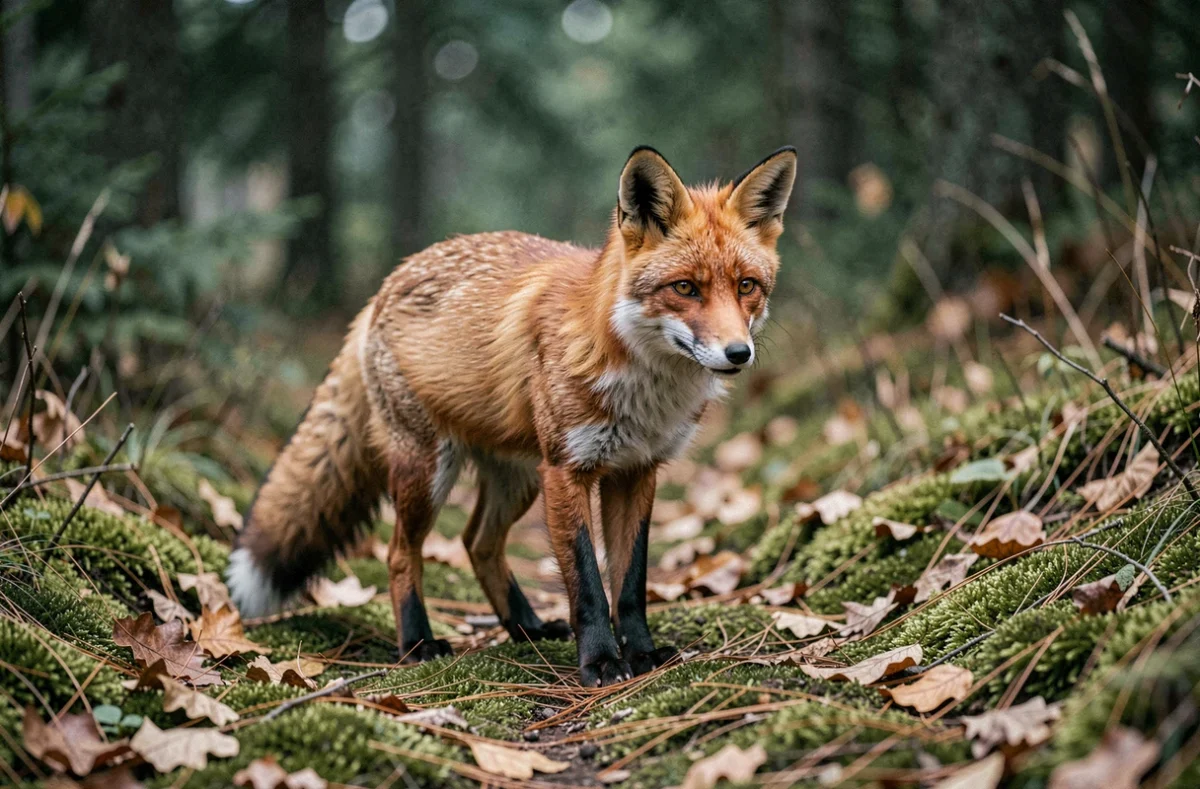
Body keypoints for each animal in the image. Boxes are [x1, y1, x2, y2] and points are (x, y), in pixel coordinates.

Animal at [227, 145, 797, 686]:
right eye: (685, 288)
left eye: (746, 286)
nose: (738, 353)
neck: (641, 384)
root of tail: (384, 287)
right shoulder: (567, 469)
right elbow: (587, 583)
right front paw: (601, 663)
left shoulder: (637, 470)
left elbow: (630, 582)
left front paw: (641, 654)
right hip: (429, 472)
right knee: (400, 553)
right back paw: (419, 642)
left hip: (518, 478)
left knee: (476, 543)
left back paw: (525, 627)